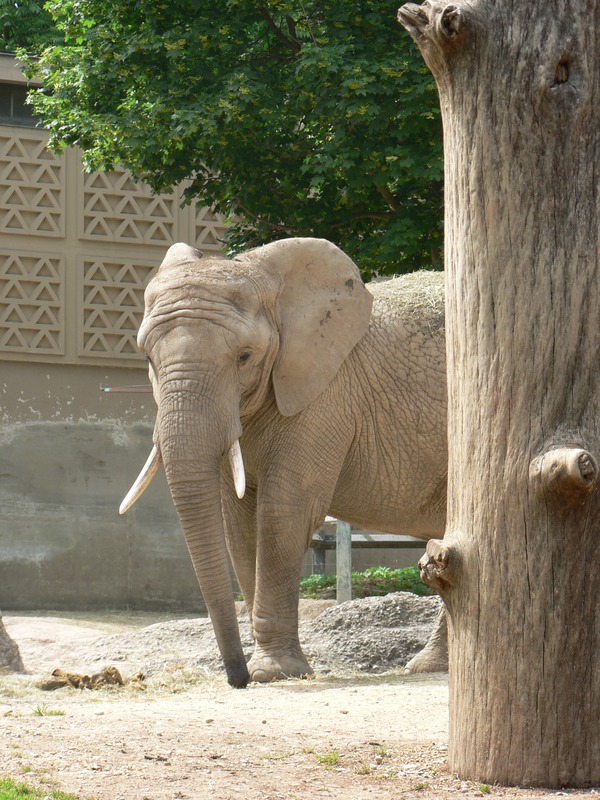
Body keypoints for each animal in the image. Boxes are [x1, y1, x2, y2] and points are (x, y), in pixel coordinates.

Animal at [119, 238, 446, 688]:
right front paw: (267, 670)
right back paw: (430, 665)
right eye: (148, 359)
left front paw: (272, 673)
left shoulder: (325, 396)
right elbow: (239, 521)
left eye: (244, 357)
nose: (236, 679)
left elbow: (283, 512)